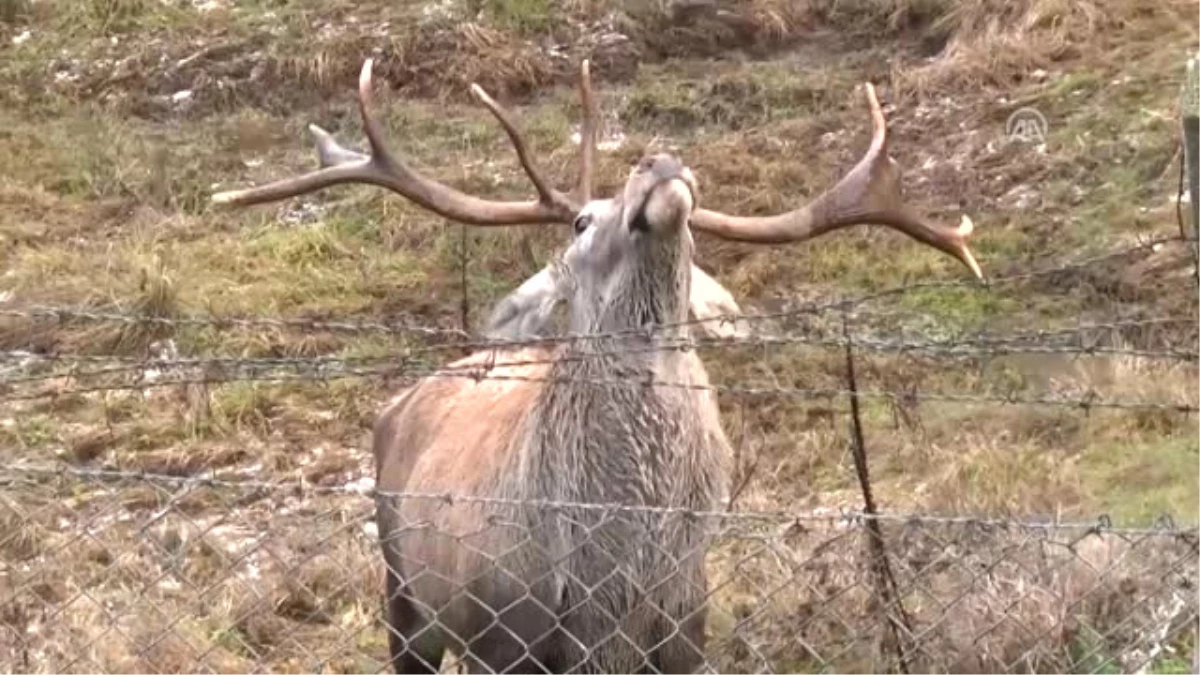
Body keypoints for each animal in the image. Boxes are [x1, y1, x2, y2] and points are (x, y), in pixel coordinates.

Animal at [213, 59, 984, 672]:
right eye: (583, 221)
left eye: (696, 237)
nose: (660, 161)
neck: (613, 579)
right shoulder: (510, 636)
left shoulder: (685, 622)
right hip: (403, 594)